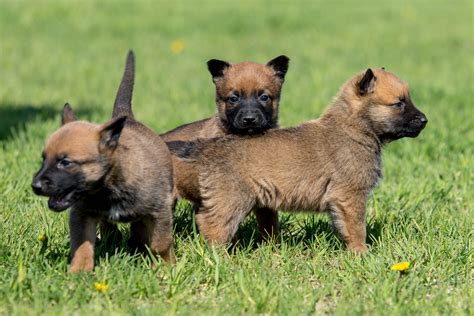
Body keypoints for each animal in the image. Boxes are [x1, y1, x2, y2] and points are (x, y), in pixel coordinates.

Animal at [32, 51, 175, 272]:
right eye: (43, 159)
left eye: (65, 162)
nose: (35, 186)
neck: (109, 186)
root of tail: (126, 116)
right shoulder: (82, 215)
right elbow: (82, 246)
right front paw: (79, 271)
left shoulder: (160, 211)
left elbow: (161, 243)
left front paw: (166, 268)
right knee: (112, 227)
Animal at [171, 68, 430, 252]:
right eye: (399, 103)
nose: (424, 120)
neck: (352, 127)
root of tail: (209, 146)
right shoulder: (351, 196)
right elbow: (357, 228)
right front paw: (361, 253)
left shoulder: (340, 203)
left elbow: (345, 227)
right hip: (232, 199)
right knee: (212, 225)